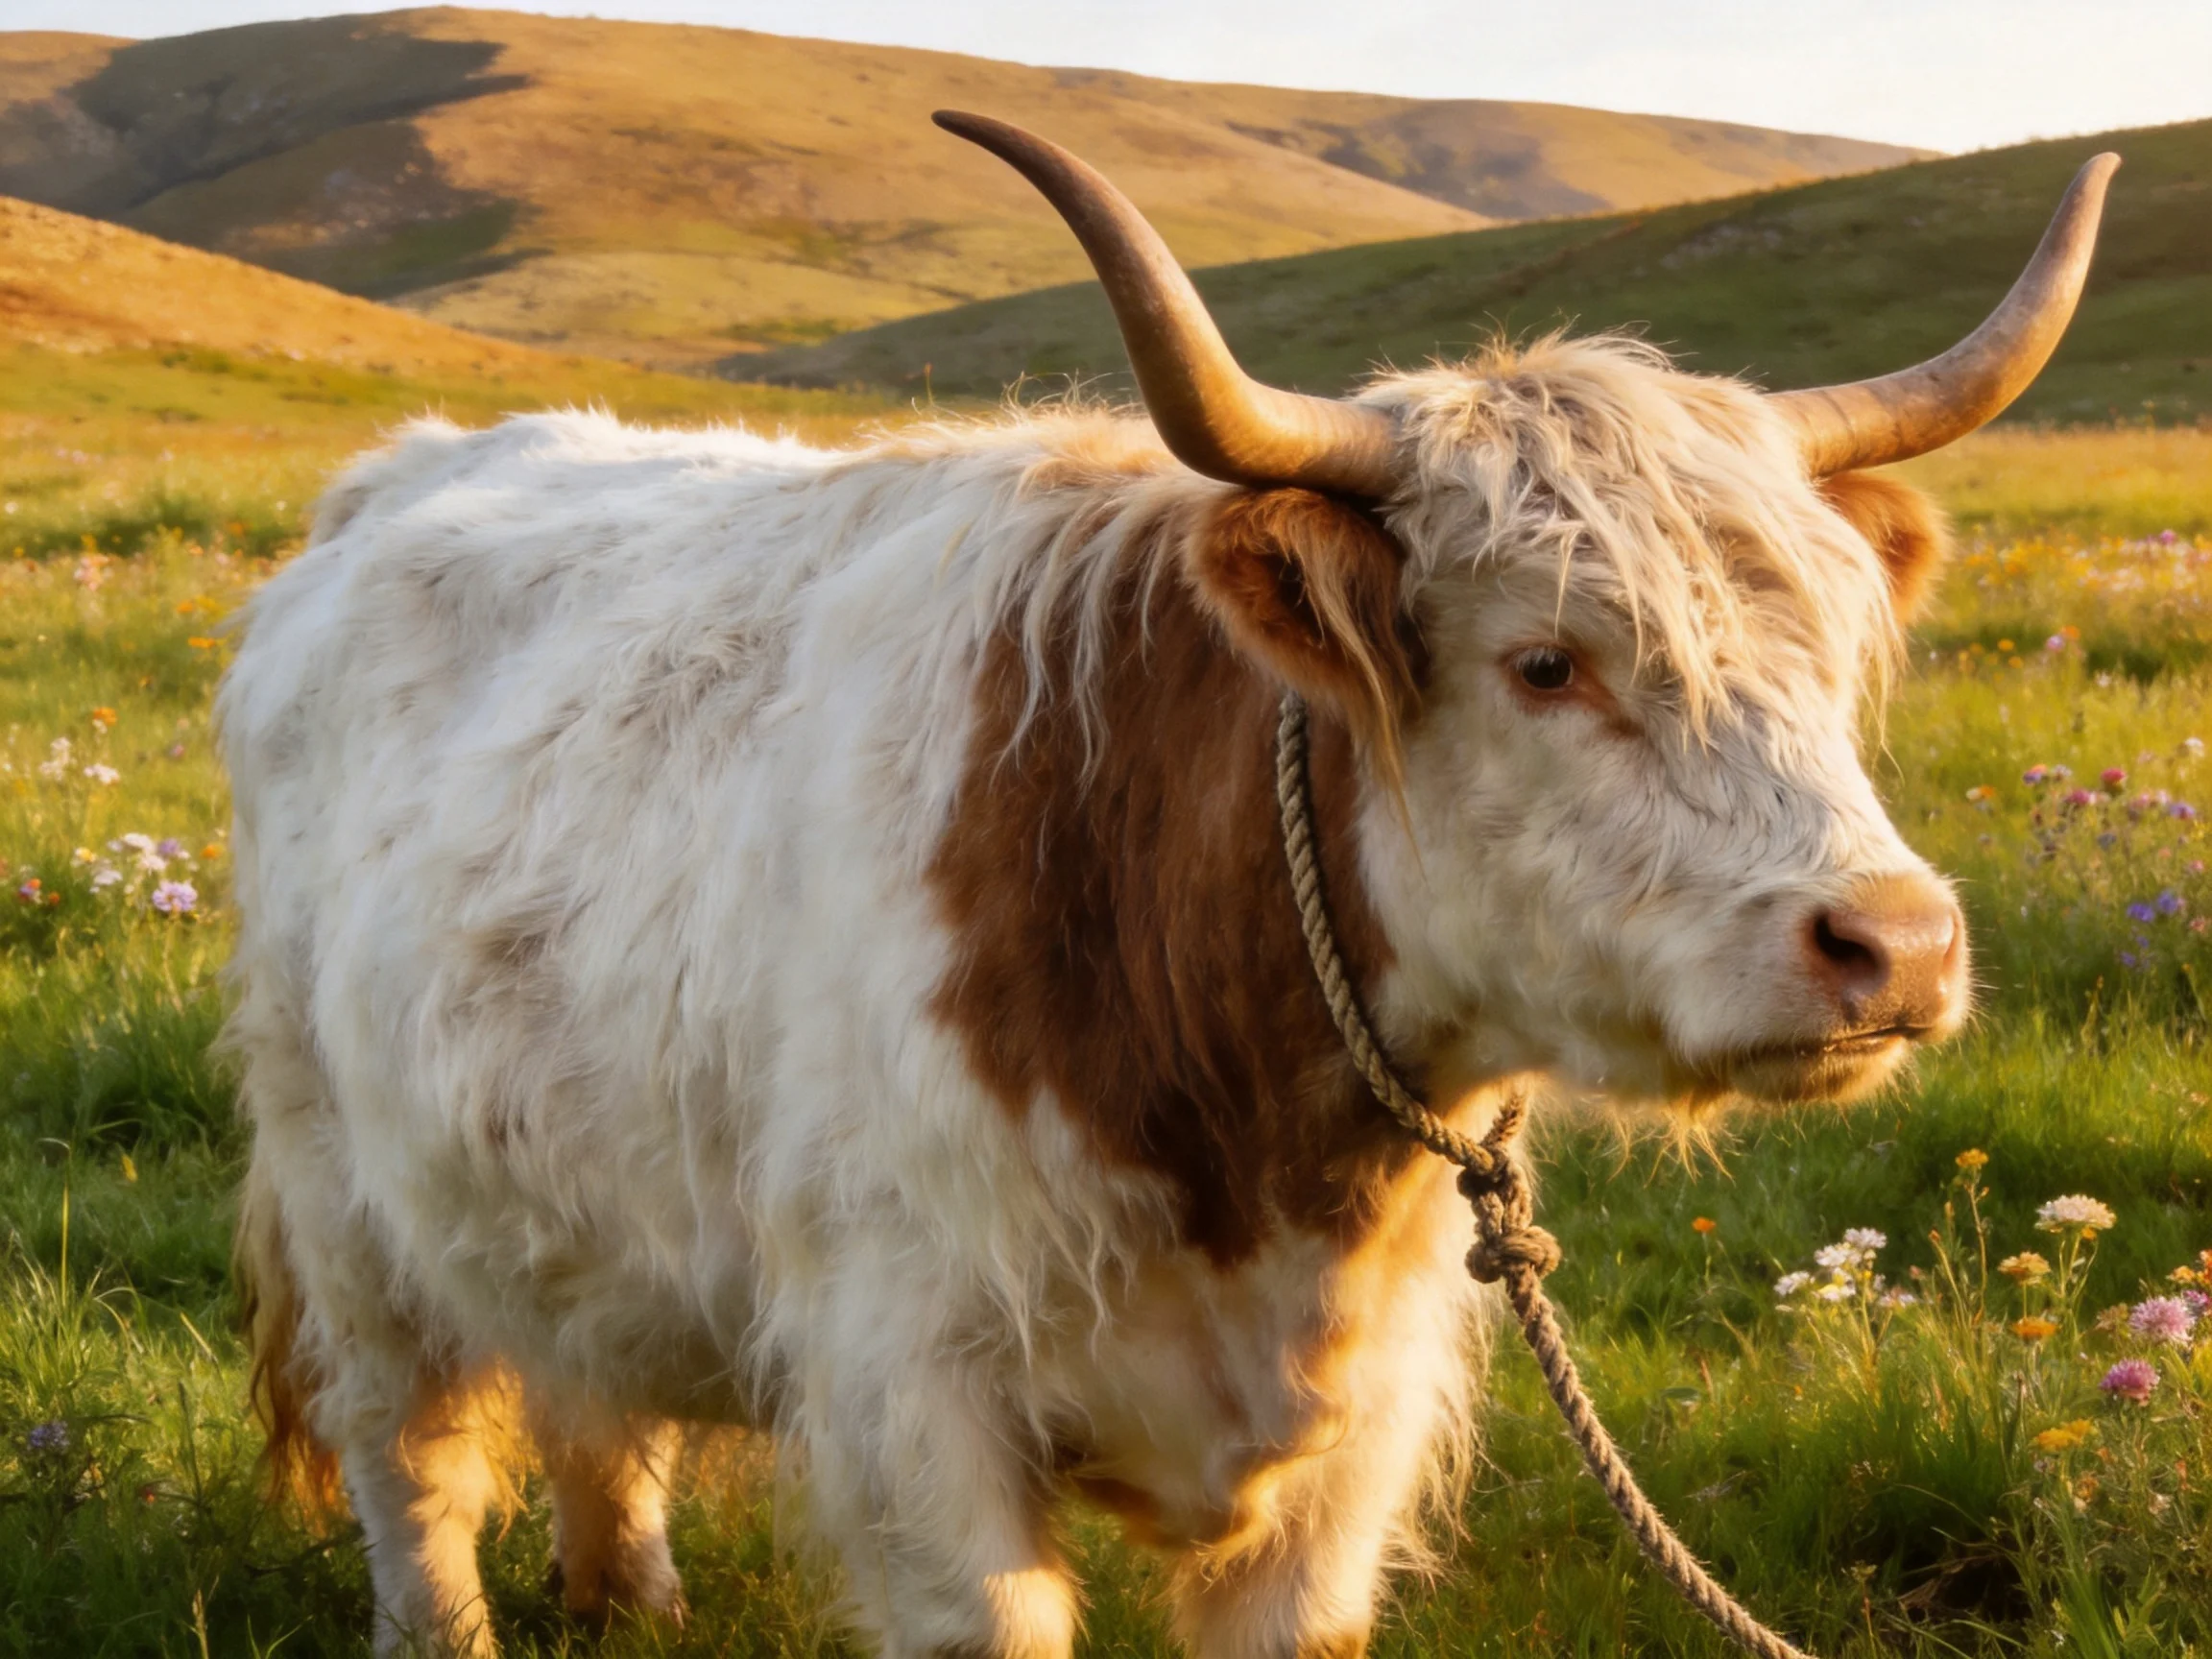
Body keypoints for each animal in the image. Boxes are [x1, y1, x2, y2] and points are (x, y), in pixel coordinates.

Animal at [221, 112, 2113, 1658]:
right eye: (1543, 662)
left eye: (1830, 649)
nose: (1893, 944)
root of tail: (399, 477)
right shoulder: (916, 1402)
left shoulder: (1346, 1452)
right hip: (346, 1202)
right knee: (413, 1461)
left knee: (594, 1403)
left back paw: (631, 1596)